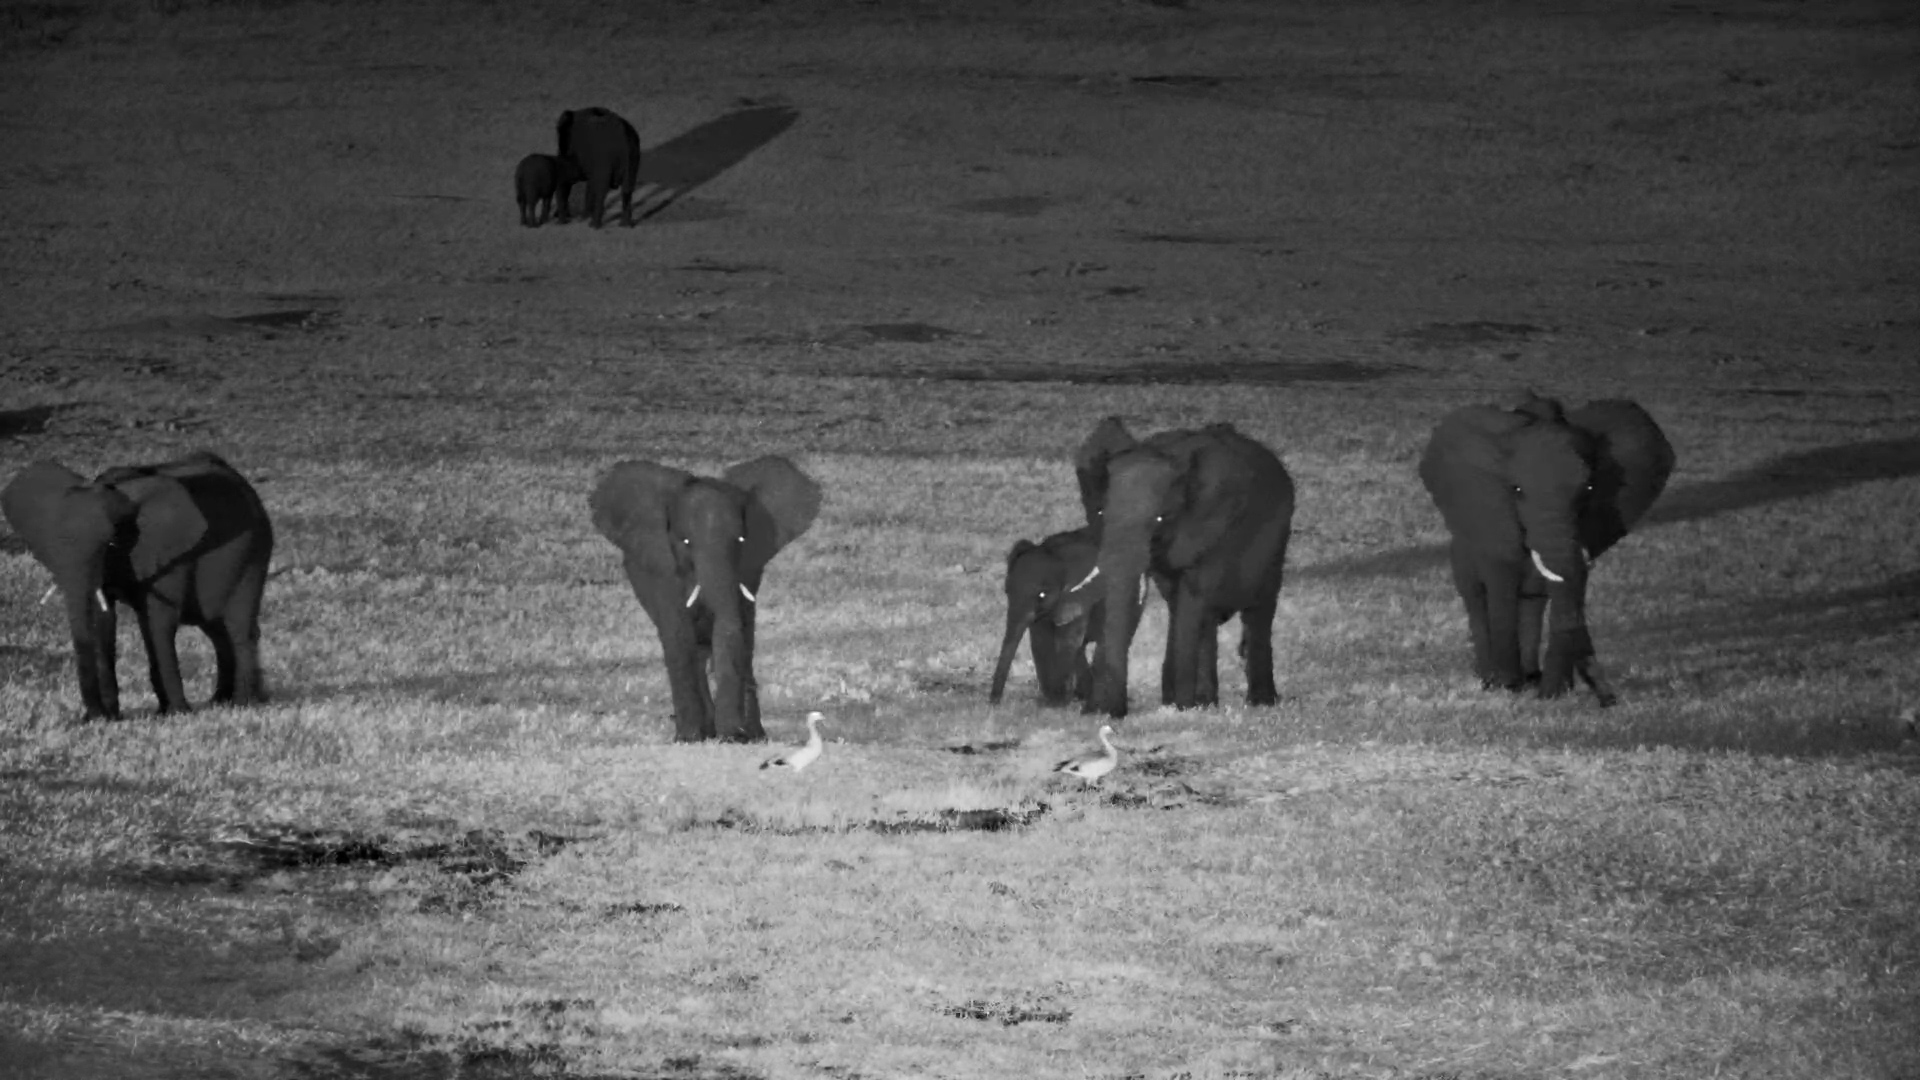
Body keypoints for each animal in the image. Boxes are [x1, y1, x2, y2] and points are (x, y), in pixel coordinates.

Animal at [1, 451, 273, 721]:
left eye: (110, 542)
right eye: (50, 547)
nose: (91, 717)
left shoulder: (166, 549)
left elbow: (157, 620)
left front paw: (176, 714)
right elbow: (103, 619)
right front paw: (112, 718)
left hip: (254, 553)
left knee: (238, 625)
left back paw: (243, 704)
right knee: (217, 629)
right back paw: (221, 701)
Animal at [589, 455, 820, 742]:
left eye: (741, 540)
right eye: (685, 542)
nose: (734, 734)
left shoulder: (748, 569)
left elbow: (737, 631)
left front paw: (737, 737)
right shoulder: (662, 569)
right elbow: (678, 634)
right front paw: (689, 738)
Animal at [988, 526, 1106, 707]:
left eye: (1042, 595)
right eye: (1007, 590)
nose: (993, 702)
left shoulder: (1081, 597)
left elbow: (1068, 641)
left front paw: (1058, 703)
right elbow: (1040, 641)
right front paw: (1054, 700)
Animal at [1066, 417, 1296, 719]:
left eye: (1160, 519)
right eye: (1101, 513)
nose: (1098, 711)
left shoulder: (1216, 532)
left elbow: (1193, 595)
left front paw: (1183, 707)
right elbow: (1178, 599)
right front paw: (1181, 705)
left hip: (1277, 539)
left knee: (1259, 608)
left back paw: (1260, 702)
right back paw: (1207, 702)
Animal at [1418, 392, 1675, 705]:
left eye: (1589, 490)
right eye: (1516, 490)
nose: (1609, 698)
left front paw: (1549, 691)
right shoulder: (1493, 520)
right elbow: (1500, 584)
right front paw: (1506, 686)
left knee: (1533, 600)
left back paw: (1531, 677)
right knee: (1476, 595)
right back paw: (1490, 679)